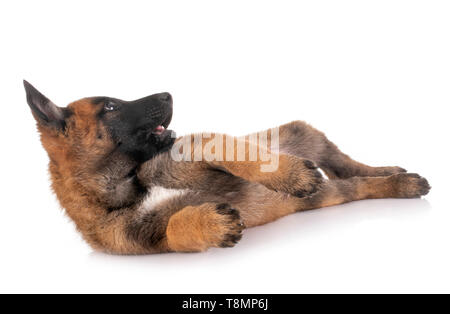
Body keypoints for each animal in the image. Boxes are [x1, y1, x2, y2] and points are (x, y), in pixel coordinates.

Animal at [22, 80, 430, 253]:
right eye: (109, 107)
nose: (169, 94)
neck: (129, 182)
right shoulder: (146, 242)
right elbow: (174, 227)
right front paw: (211, 224)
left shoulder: (198, 148)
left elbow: (236, 153)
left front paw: (290, 174)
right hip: (327, 193)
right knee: (352, 181)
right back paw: (399, 182)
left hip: (304, 133)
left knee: (346, 164)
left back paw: (393, 173)